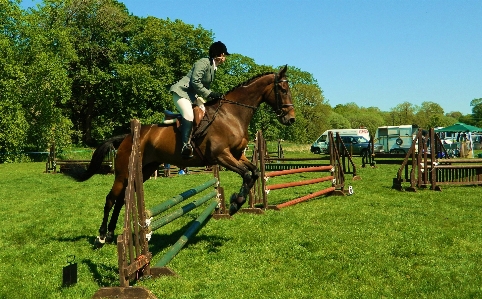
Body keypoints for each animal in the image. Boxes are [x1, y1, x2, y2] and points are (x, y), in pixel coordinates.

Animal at [75, 65, 296, 246]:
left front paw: (236, 200)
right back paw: (101, 236)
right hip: (123, 173)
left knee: (121, 200)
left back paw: (111, 234)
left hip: (143, 171)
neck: (231, 114)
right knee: (111, 199)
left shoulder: (237, 155)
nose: (291, 119)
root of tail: (128, 136)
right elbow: (248, 174)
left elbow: (254, 172)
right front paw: (235, 203)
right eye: (283, 90)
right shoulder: (221, 156)